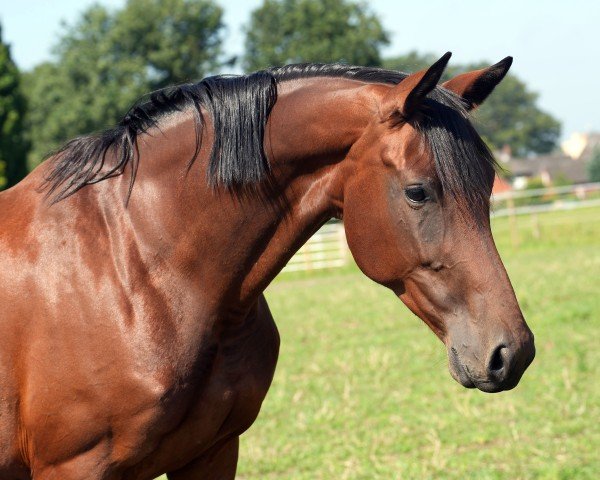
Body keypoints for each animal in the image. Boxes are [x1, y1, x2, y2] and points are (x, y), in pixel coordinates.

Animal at [0, 50, 536, 478]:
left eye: (487, 186)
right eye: (418, 192)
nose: (511, 352)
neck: (135, 269)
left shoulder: (212, 452)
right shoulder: (76, 467)